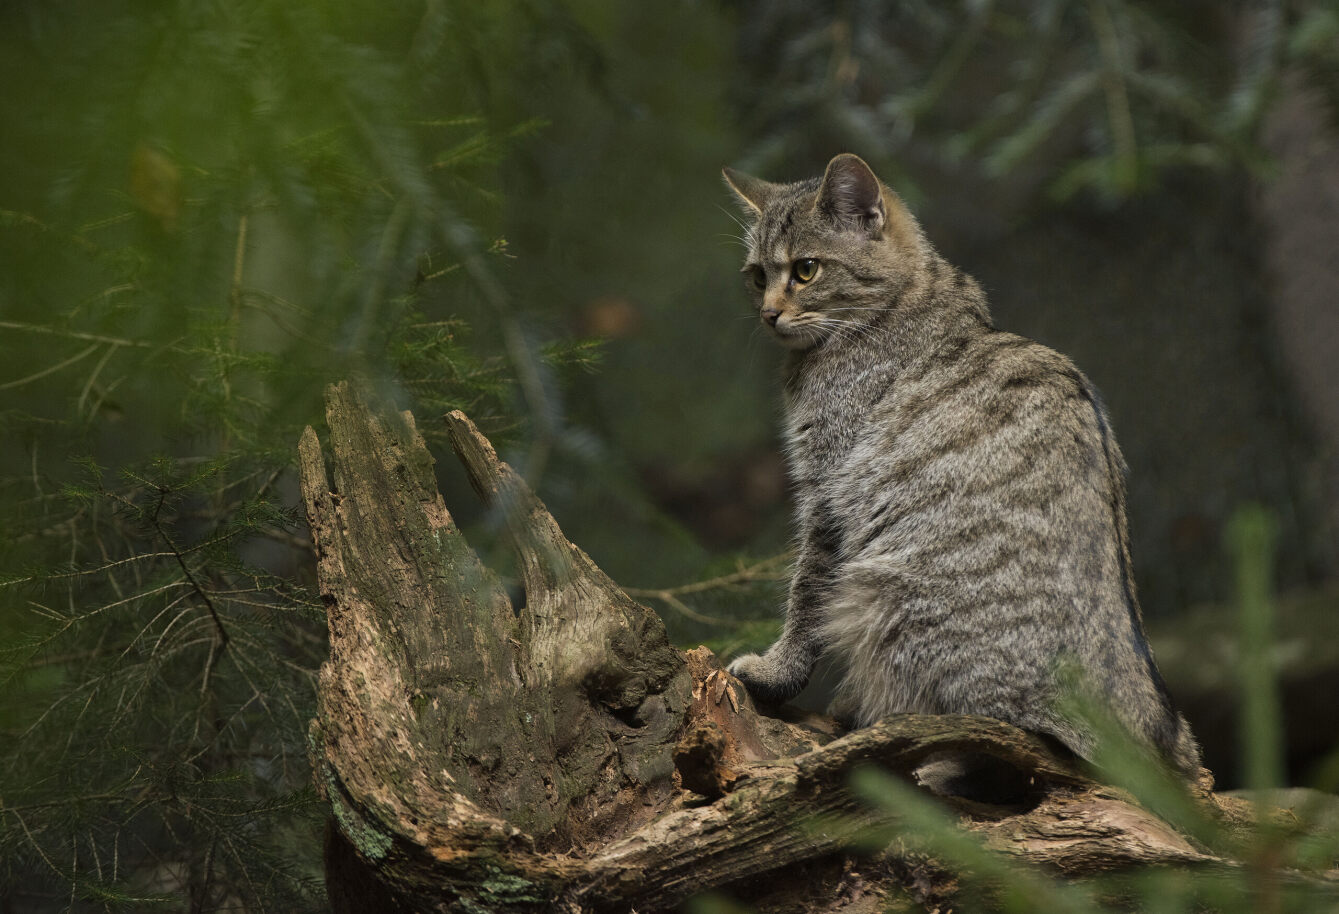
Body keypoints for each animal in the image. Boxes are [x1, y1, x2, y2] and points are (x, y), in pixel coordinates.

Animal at [723, 153, 1205, 776]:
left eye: (806, 270)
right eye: (758, 275)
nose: (768, 313)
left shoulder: (828, 497)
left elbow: (806, 601)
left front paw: (775, 673)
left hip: (887, 596)